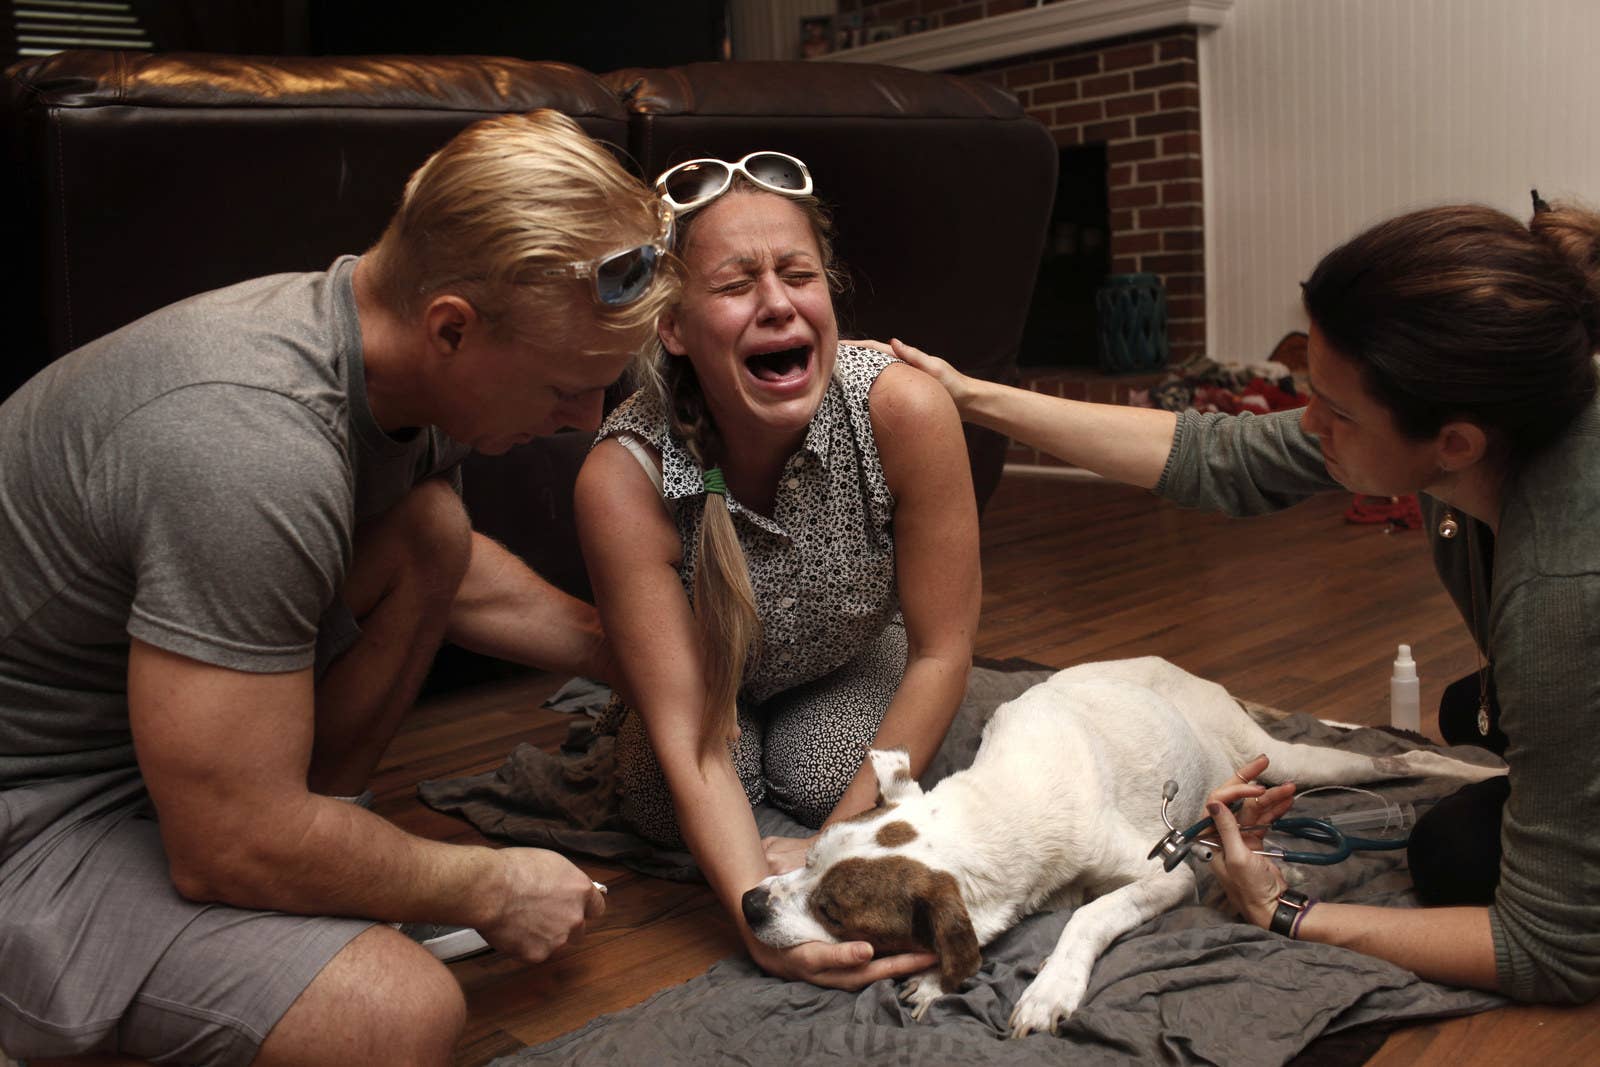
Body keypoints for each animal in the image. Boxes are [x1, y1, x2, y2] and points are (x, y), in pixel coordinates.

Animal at [742, 655, 1504, 1036]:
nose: (748, 902)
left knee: (1394, 759)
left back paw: (1482, 770)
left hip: (1284, 756)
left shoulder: (1168, 871)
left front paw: (1048, 988)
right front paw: (935, 976)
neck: (997, 804)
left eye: (834, 912)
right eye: (806, 859)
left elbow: (1086, 915)